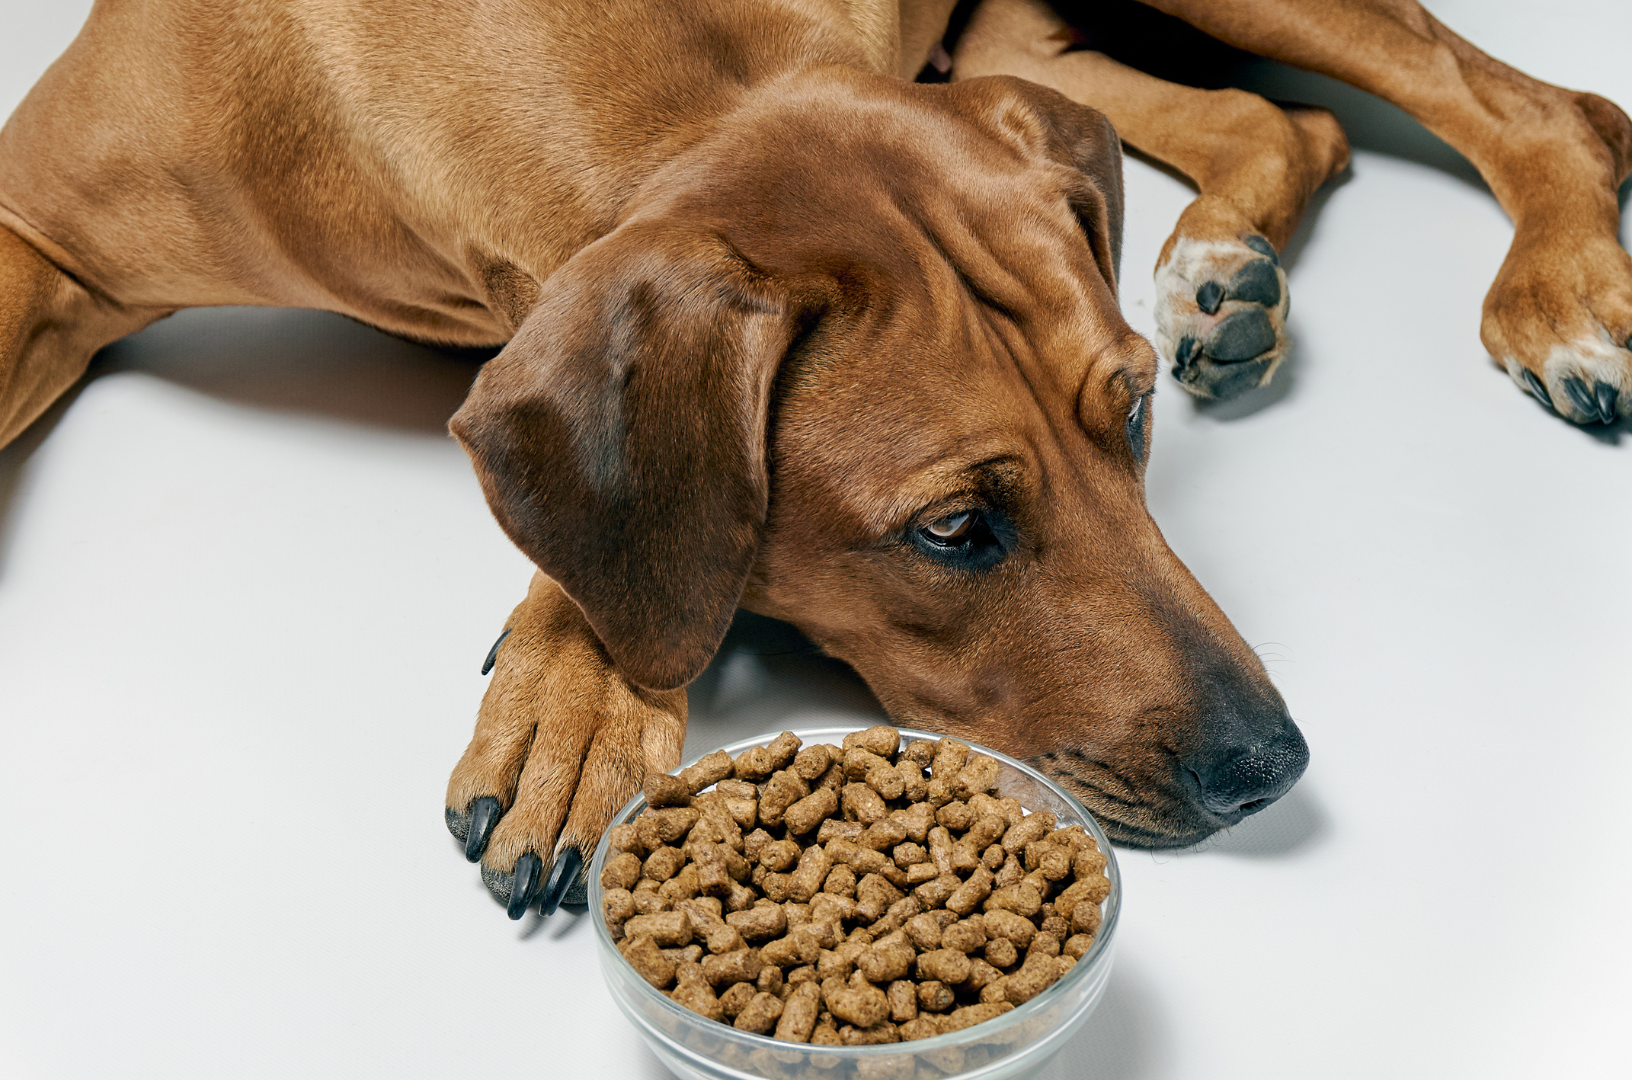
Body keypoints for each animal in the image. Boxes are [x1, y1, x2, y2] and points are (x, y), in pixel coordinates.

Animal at [0, 0, 1618, 920]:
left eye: (1132, 419)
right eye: (955, 530)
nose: (1270, 767)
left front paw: (577, 687)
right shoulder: (34, 229)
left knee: (1541, 105)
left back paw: (1559, 290)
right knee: (1285, 116)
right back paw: (1226, 260)